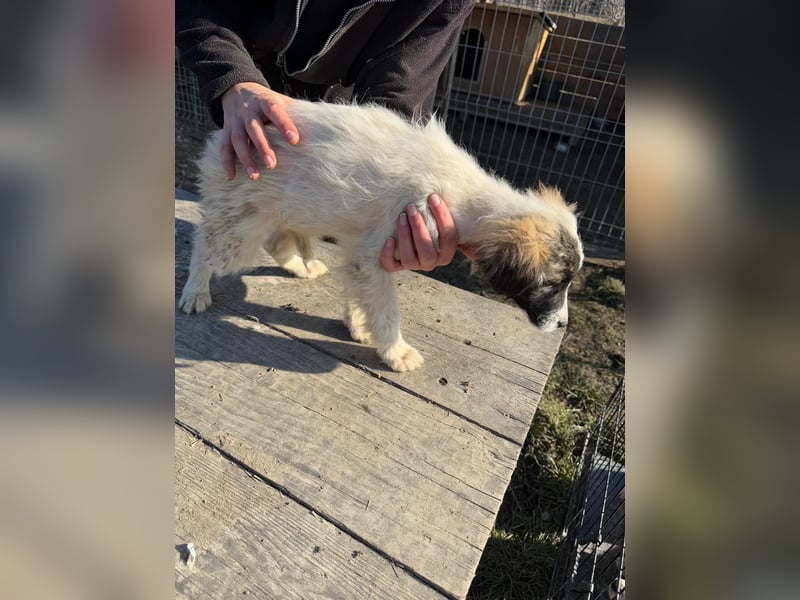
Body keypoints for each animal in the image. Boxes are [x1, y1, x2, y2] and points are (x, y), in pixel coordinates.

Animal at [180, 100, 583, 372]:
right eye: (552, 283)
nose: (563, 325)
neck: (465, 196)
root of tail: (221, 136)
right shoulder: (375, 252)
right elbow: (387, 309)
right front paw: (395, 351)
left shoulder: (361, 246)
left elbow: (361, 295)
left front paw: (358, 325)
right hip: (238, 223)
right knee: (205, 243)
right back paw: (195, 293)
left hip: (286, 208)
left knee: (276, 240)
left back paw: (303, 266)